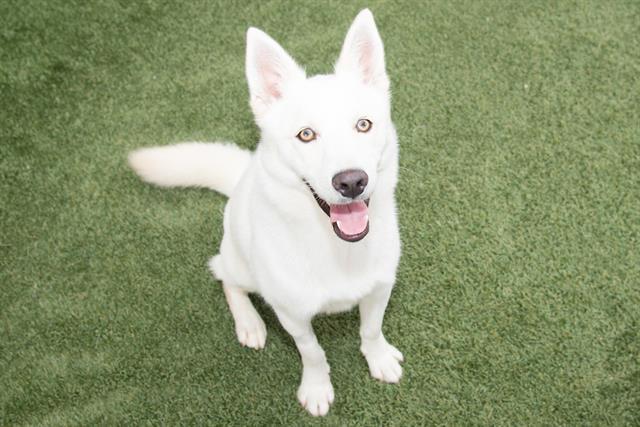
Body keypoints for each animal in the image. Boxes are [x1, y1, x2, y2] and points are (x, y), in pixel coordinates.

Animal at [127, 9, 402, 418]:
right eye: (306, 134)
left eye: (363, 124)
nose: (352, 181)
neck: (337, 249)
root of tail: (243, 174)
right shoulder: (293, 315)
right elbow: (312, 352)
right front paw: (316, 388)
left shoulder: (380, 288)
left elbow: (370, 329)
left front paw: (378, 358)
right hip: (239, 264)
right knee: (224, 277)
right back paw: (250, 323)